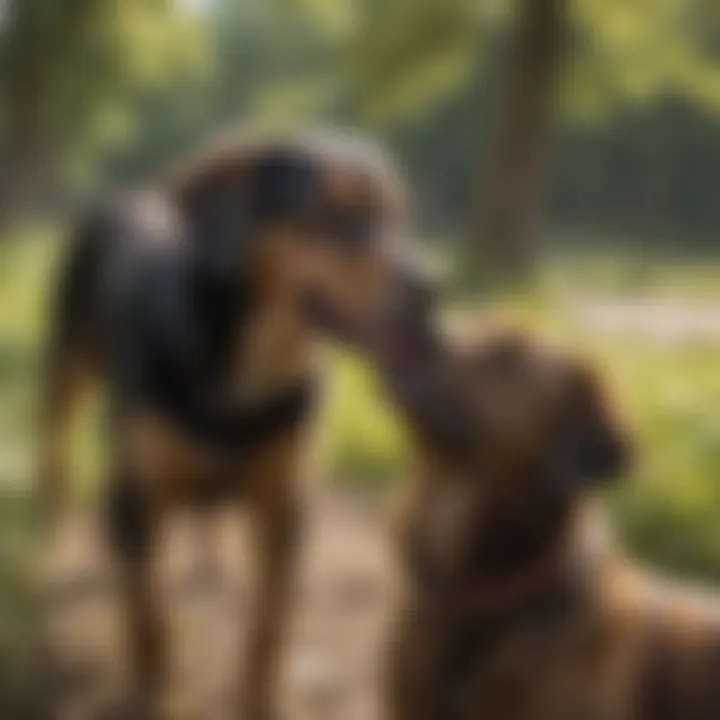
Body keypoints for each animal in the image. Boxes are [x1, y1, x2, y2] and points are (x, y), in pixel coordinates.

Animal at [40, 129, 434, 716]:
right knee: (57, 451)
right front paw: (153, 695)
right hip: (66, 368)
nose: (433, 288)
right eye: (330, 214)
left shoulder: (287, 503)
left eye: (395, 217)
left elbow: (271, 617)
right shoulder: (133, 498)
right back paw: (49, 534)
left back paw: (210, 562)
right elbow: (150, 614)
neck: (247, 364)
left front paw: (261, 696)